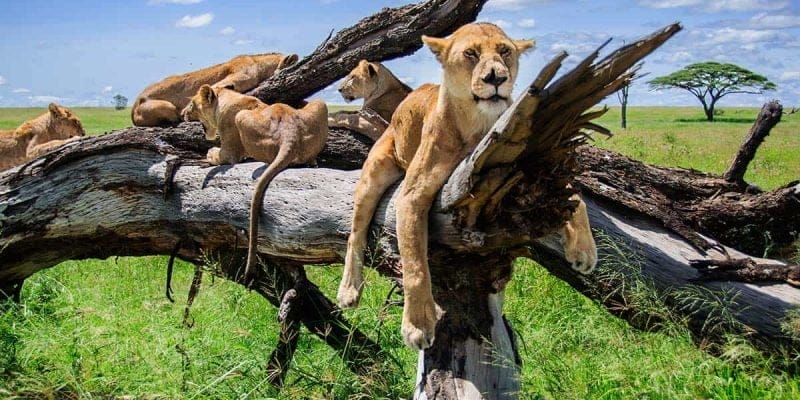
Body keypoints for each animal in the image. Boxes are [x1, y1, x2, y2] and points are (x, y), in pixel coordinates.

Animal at [183, 84, 329, 282]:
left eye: (191, 104)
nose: (182, 114)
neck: (225, 97)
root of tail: (289, 131)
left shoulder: (229, 152)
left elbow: (214, 153)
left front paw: (207, 156)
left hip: (241, 117)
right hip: (320, 104)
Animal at [337, 23, 598, 350]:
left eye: (505, 51)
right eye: (471, 54)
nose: (496, 77)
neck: (479, 123)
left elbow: (576, 194)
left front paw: (584, 249)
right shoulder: (411, 196)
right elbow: (415, 262)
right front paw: (417, 326)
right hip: (375, 172)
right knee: (355, 233)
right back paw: (349, 290)